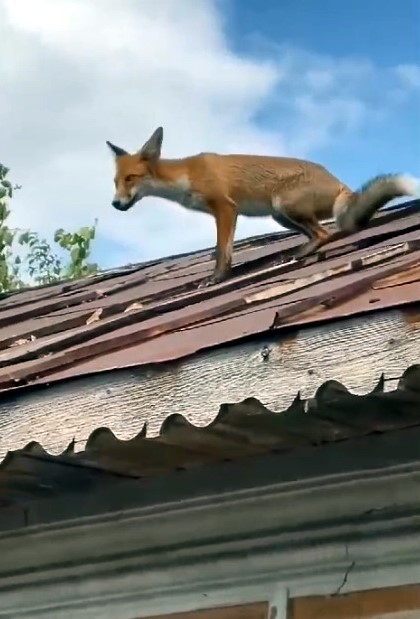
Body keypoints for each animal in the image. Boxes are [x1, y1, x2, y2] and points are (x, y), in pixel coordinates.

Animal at [106, 126, 420, 290]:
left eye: (131, 178)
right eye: (116, 182)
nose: (115, 204)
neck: (185, 176)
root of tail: (340, 183)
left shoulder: (225, 207)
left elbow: (222, 251)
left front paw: (217, 278)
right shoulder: (224, 212)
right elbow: (223, 251)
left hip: (284, 205)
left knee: (324, 234)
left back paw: (299, 254)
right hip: (279, 215)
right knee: (318, 233)